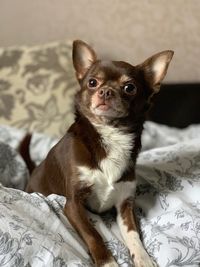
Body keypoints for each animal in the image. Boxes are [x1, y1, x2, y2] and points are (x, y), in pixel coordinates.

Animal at [25, 40, 173, 267]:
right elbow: (92, 234)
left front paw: (143, 258)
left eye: (130, 87)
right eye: (92, 82)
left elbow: (133, 235)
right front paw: (107, 262)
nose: (106, 91)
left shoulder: (124, 204)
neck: (111, 133)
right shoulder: (73, 204)